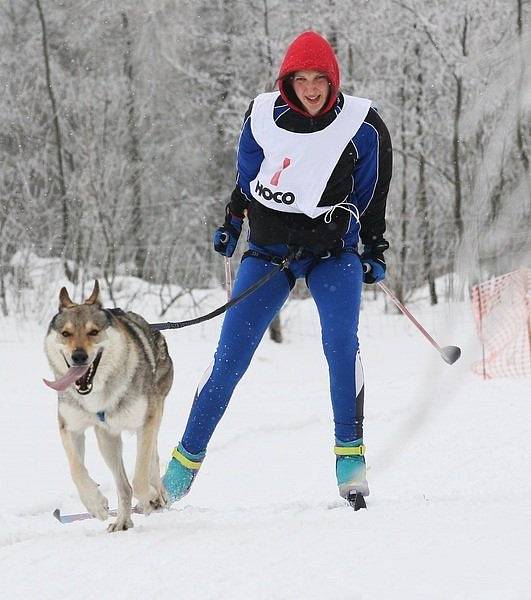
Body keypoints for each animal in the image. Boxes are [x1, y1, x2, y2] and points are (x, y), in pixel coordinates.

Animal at [44, 278, 172, 532]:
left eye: (93, 332)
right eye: (66, 333)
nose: (79, 356)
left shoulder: (147, 420)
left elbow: (140, 476)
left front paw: (151, 497)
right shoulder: (70, 427)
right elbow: (76, 470)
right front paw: (96, 505)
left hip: (151, 417)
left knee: (151, 460)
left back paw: (157, 496)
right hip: (107, 440)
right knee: (123, 486)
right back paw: (122, 521)